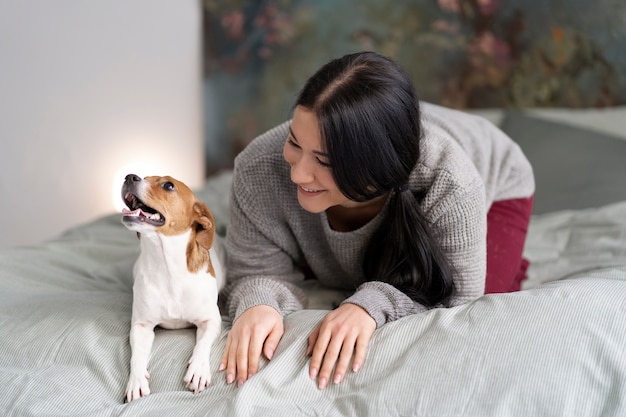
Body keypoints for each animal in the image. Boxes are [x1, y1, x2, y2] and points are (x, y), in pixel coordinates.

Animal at [119, 172, 224, 400]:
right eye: (144, 176)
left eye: (168, 185)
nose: (129, 176)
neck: (168, 266)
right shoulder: (141, 326)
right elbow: (136, 357)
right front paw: (136, 381)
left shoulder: (210, 320)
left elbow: (202, 344)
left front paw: (198, 370)